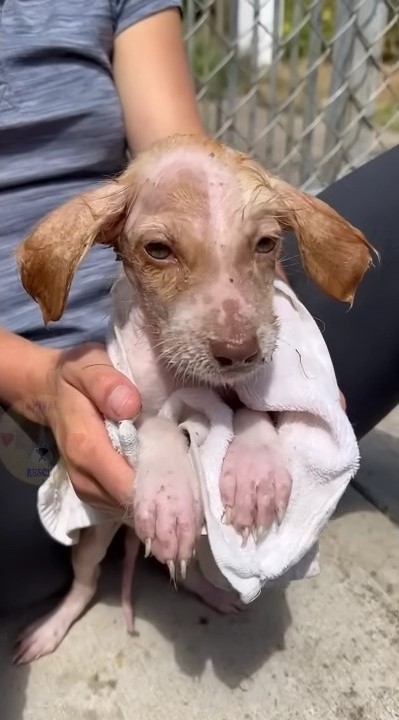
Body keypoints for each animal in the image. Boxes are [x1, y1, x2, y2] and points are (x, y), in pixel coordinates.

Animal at [13, 132, 376, 660]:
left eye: (266, 244)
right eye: (159, 250)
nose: (240, 353)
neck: (185, 377)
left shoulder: (242, 392)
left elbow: (252, 412)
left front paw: (255, 473)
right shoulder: (129, 408)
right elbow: (160, 426)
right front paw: (170, 500)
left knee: (184, 573)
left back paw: (210, 590)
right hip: (98, 533)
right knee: (86, 581)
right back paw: (52, 626)